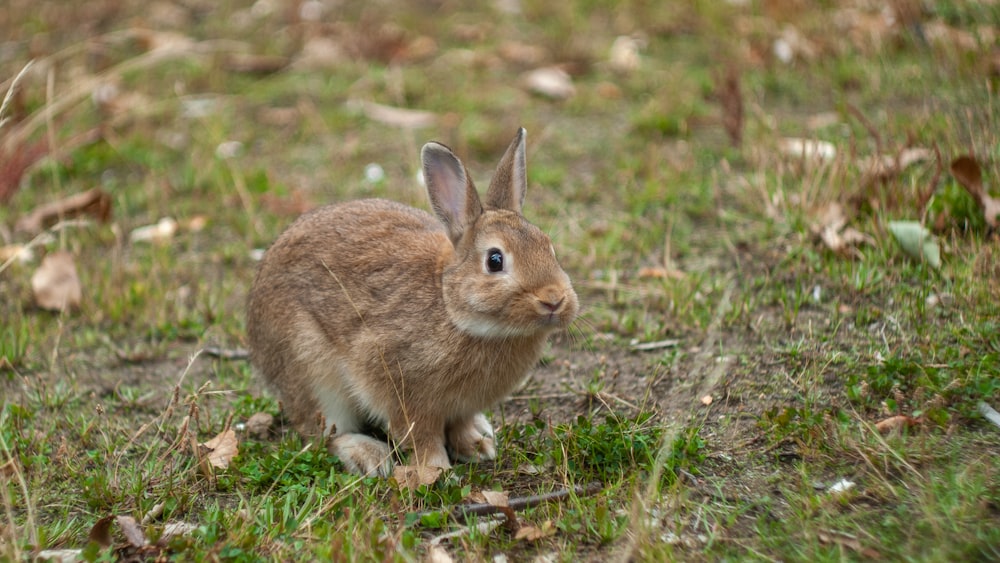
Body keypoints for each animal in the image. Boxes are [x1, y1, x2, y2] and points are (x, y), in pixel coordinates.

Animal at [246, 128, 580, 476]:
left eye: (549, 247)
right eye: (495, 260)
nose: (554, 300)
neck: (451, 307)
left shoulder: (461, 406)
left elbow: (459, 425)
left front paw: (476, 447)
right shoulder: (400, 389)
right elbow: (422, 436)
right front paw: (436, 471)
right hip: (312, 372)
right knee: (323, 433)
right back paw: (369, 456)